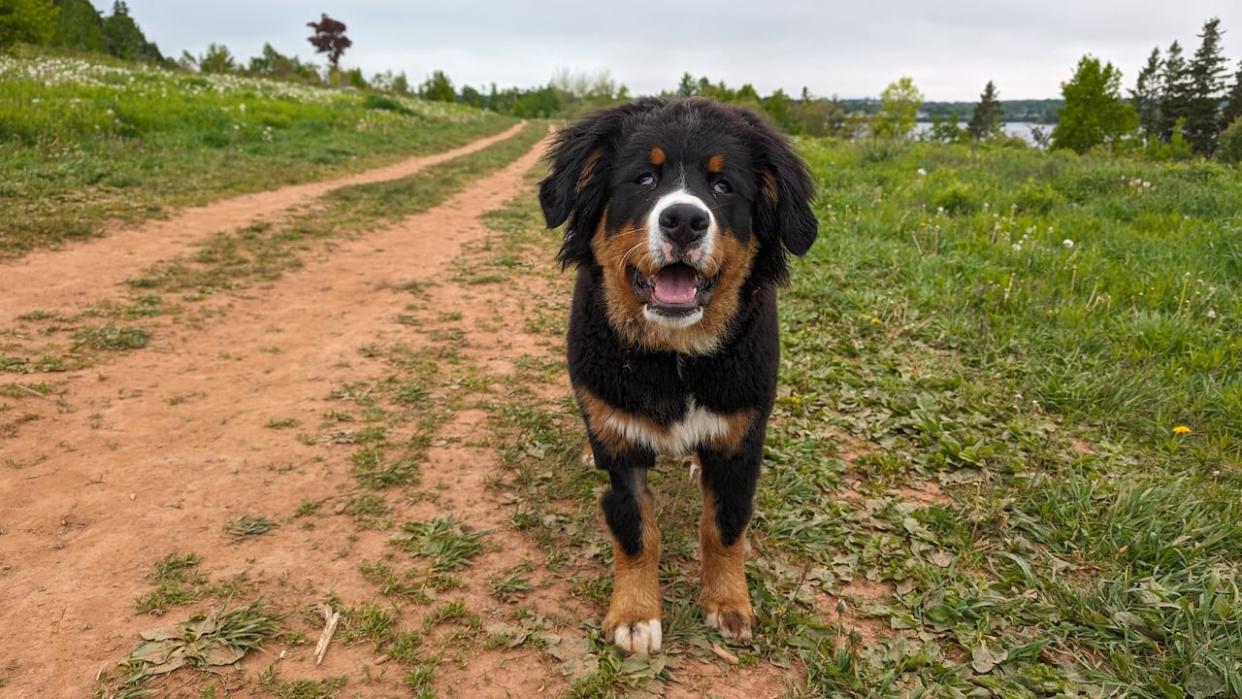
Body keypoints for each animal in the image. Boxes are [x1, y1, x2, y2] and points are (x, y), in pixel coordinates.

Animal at [541, 98, 814, 655]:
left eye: (723, 186)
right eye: (644, 178)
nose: (684, 219)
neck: (675, 358)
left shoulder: (740, 439)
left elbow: (724, 526)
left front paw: (728, 603)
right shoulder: (621, 441)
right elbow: (635, 530)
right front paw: (634, 615)